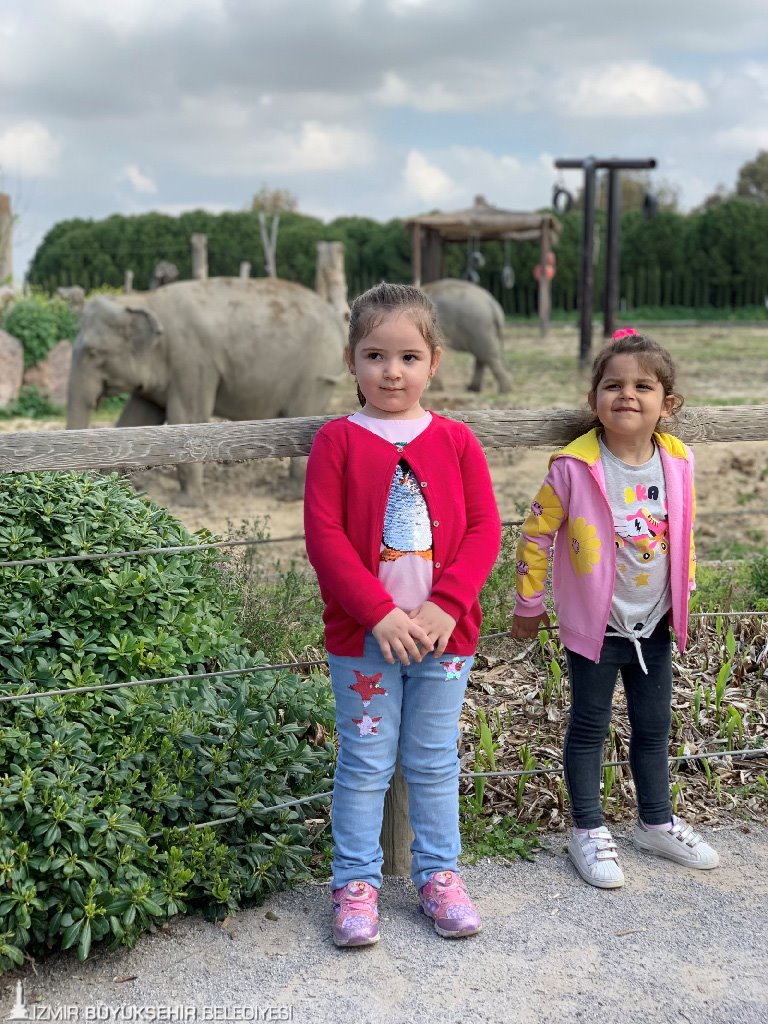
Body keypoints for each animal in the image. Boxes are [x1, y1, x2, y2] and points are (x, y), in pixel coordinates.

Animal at [67, 277, 346, 503]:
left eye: (93, 353)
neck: (143, 299)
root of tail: (336, 318)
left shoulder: (192, 361)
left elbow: (186, 419)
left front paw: (186, 502)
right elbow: (134, 421)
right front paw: (110, 487)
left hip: (315, 371)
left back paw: (287, 496)